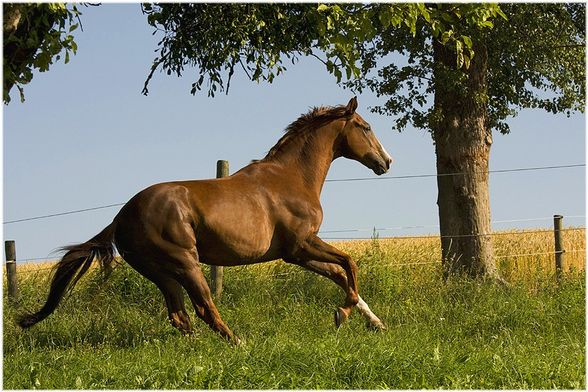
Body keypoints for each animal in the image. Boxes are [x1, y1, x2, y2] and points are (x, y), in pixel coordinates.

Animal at [18, 97, 392, 344]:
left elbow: (340, 275)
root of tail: (121, 217)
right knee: (204, 307)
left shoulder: (296, 253)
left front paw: (372, 322)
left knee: (179, 314)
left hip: (161, 272)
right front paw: (341, 315)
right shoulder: (301, 245)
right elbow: (350, 264)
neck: (290, 178)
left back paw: (196, 345)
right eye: (365, 127)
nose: (386, 161)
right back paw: (237, 343)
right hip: (185, 263)